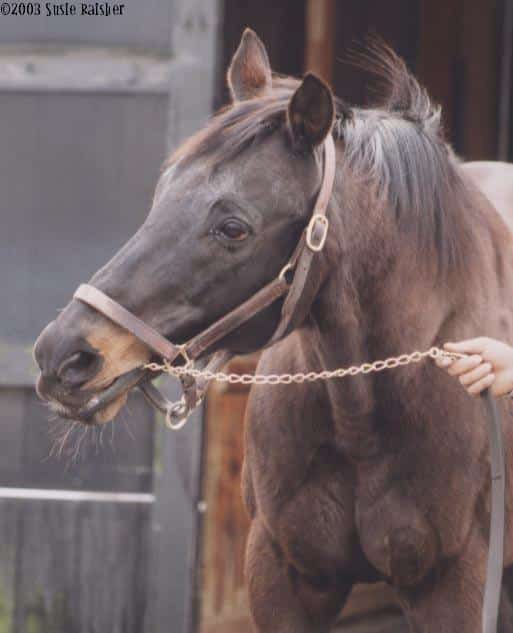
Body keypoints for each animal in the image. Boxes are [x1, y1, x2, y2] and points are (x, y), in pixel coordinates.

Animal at [34, 28, 512, 632]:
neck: (365, 418)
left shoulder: (454, 587)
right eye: (161, 196)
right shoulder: (283, 577)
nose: (65, 356)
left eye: (233, 227)